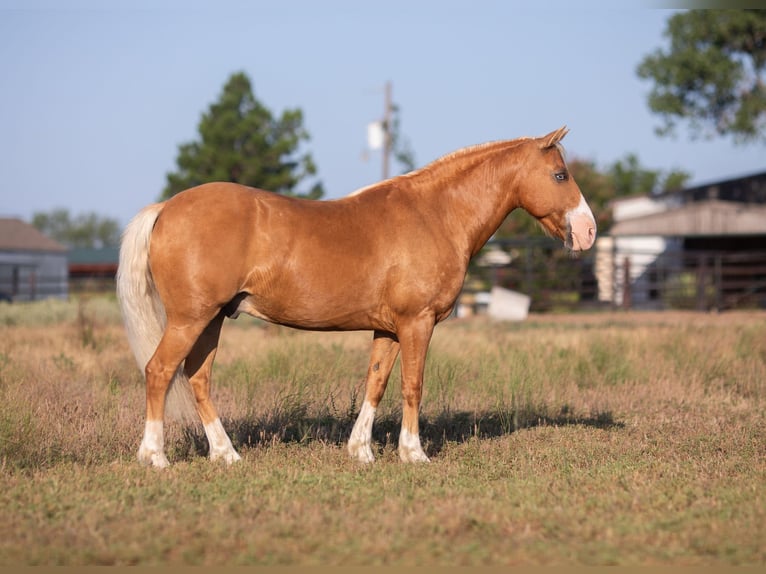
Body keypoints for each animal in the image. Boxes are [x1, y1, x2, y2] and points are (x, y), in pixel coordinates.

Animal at [117, 126, 596, 468]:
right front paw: (413, 453)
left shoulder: (388, 328)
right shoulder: (417, 322)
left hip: (212, 318)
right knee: (159, 371)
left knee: (198, 377)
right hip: (190, 318)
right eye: (560, 175)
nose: (589, 231)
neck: (436, 214)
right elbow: (412, 384)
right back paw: (155, 457)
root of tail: (165, 208)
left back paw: (226, 454)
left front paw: (361, 451)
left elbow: (376, 383)